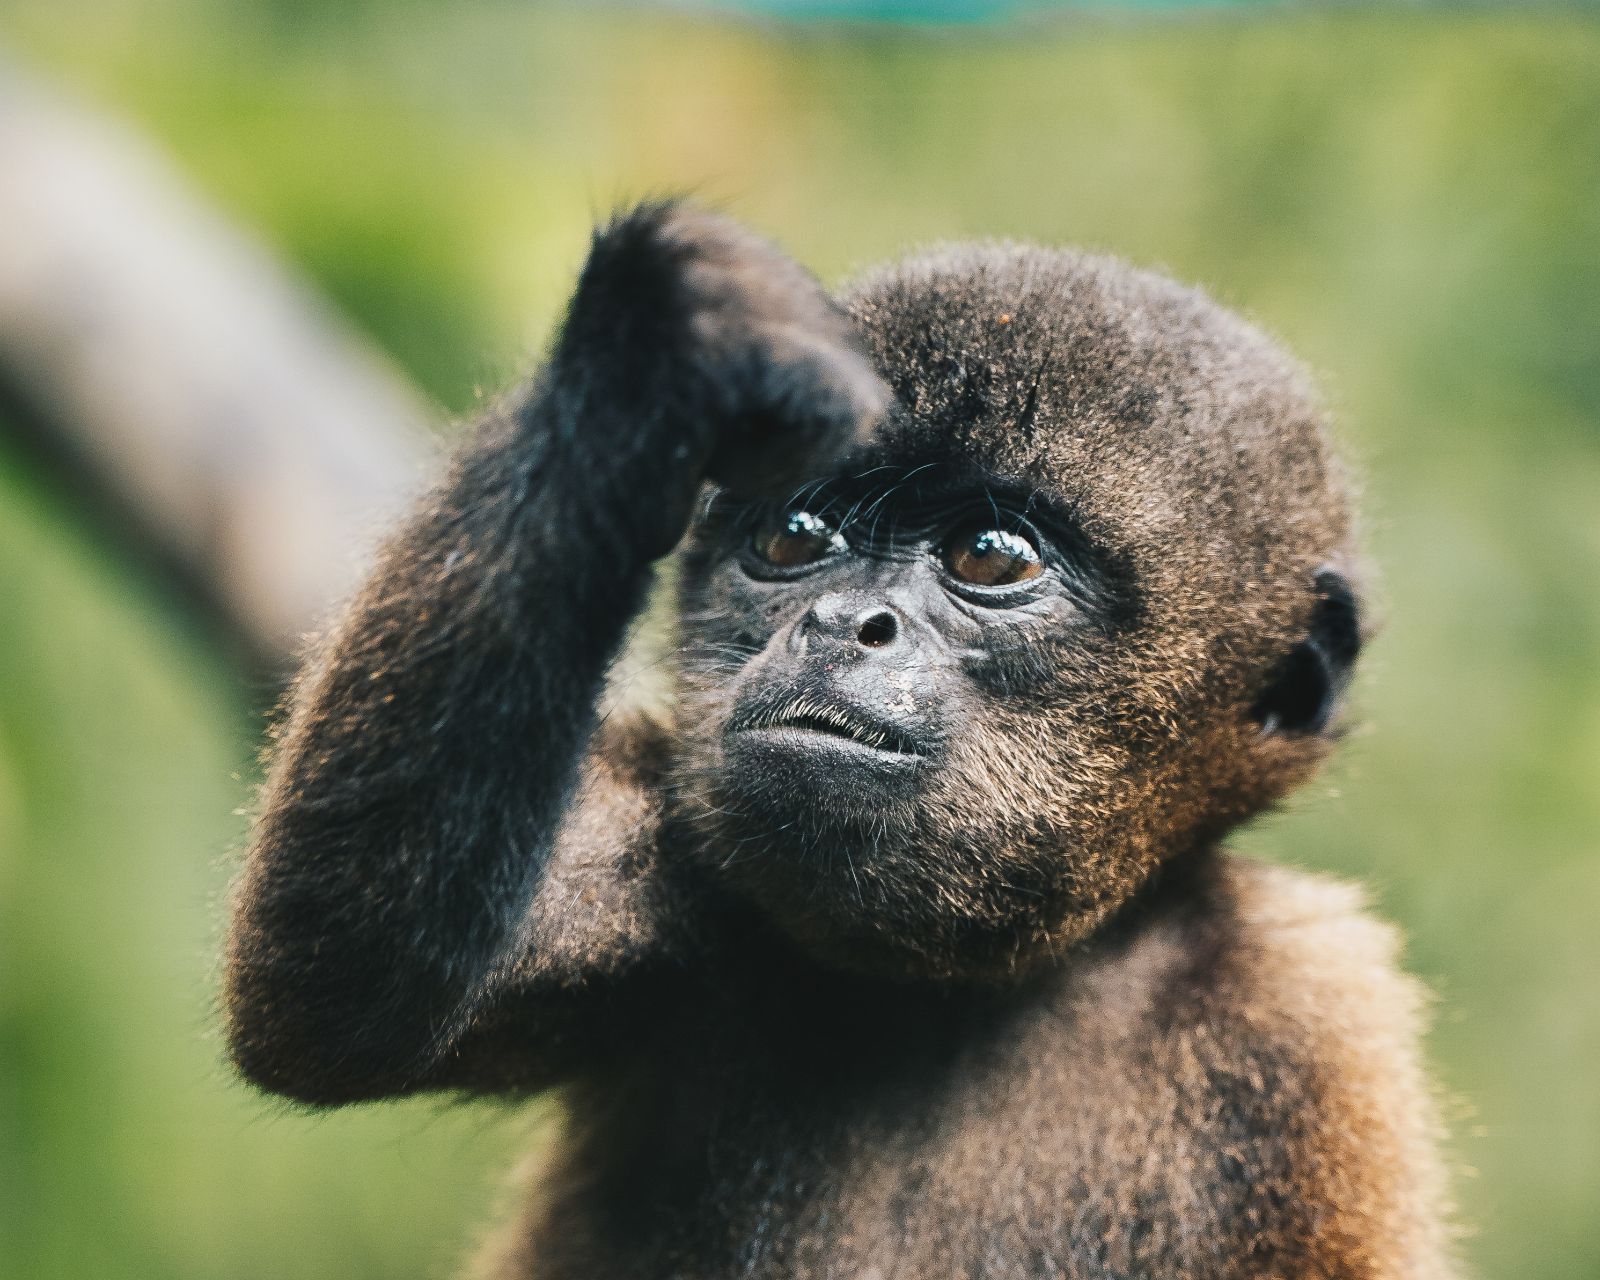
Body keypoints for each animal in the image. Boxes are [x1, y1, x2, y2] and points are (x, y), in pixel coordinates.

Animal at [223, 202, 1457, 1279]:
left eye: (990, 555)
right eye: (793, 535)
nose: (839, 622)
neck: (956, 989)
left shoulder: (1309, 1022)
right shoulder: (689, 838)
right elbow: (335, 998)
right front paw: (648, 351)